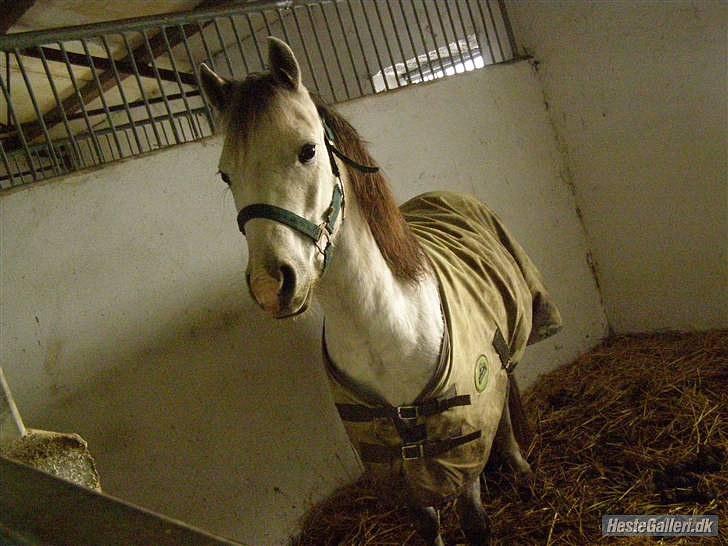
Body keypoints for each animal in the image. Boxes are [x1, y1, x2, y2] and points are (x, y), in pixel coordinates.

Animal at [199, 37, 562, 545]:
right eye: (225, 175)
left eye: (307, 150)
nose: (272, 285)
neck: (386, 331)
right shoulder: (389, 458)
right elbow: (427, 524)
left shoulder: (461, 439)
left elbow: (473, 518)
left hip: (504, 355)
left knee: (506, 404)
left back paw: (519, 466)